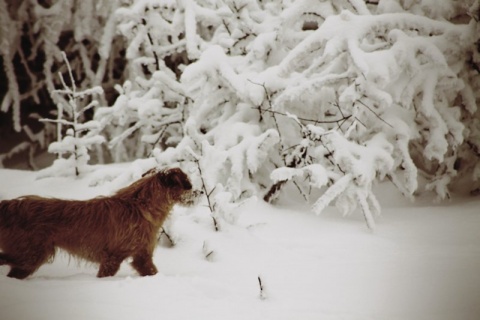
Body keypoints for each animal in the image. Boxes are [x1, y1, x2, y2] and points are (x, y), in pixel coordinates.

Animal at [0, 168, 199, 280]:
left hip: (28, 257)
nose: (200, 192)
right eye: (188, 185)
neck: (140, 207)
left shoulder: (142, 258)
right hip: (31, 254)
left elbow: (151, 270)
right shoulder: (112, 258)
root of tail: (9, 206)